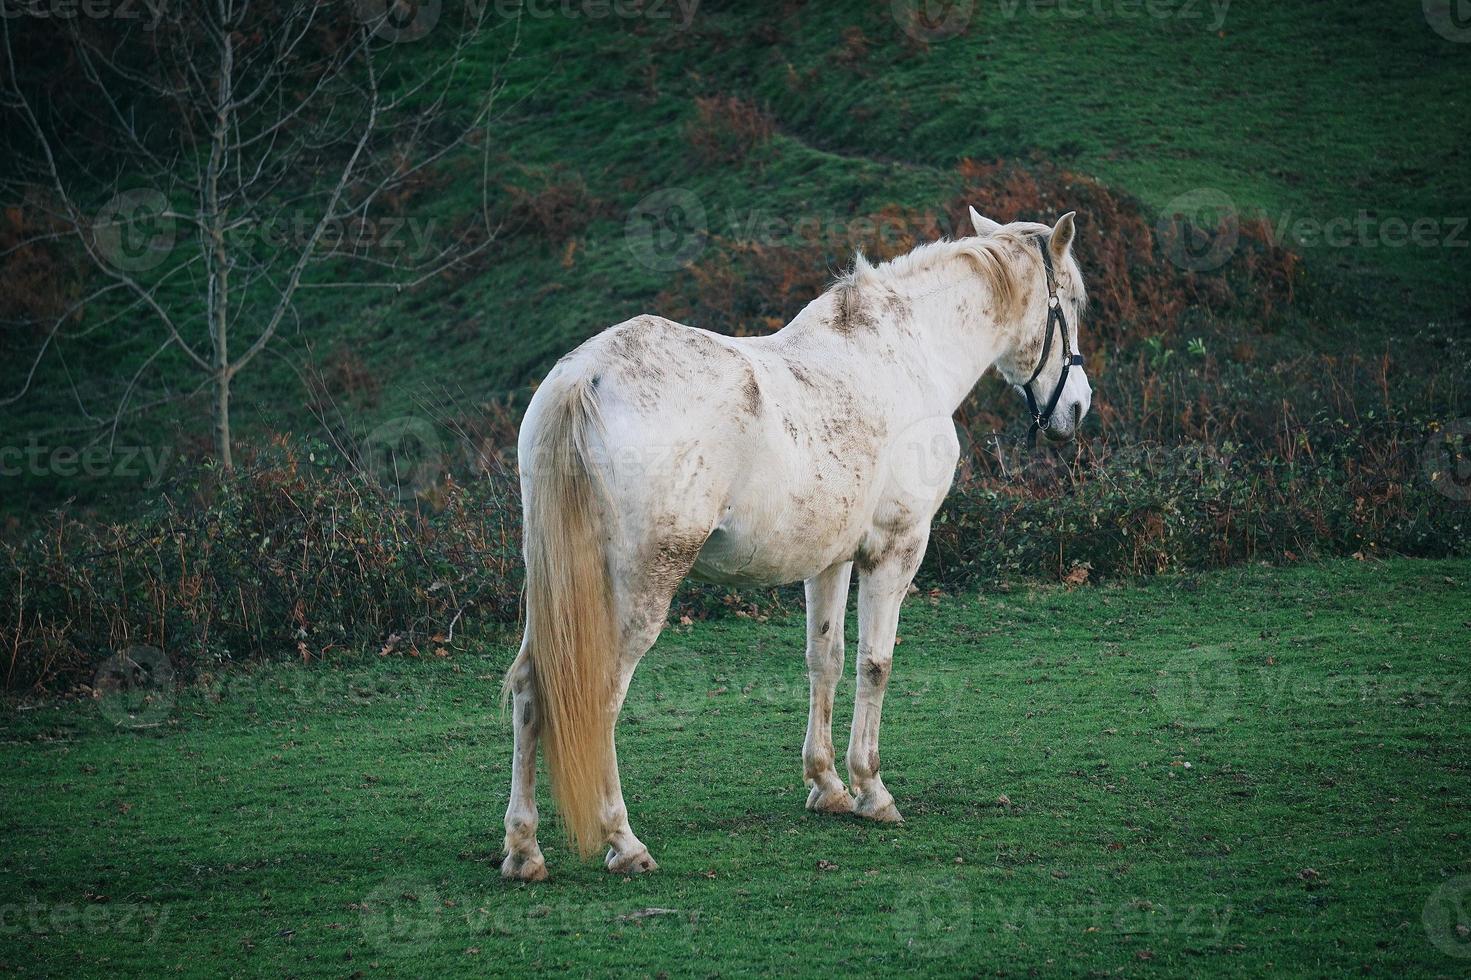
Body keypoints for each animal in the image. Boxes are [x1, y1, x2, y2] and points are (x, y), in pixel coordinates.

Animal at [500, 207, 1088, 876]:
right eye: (1073, 302)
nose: (1077, 408)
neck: (909, 355)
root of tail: (587, 376)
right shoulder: (897, 550)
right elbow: (874, 664)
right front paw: (872, 790)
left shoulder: (829, 561)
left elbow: (824, 659)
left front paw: (827, 785)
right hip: (636, 588)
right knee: (596, 698)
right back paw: (624, 842)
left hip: (552, 587)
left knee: (528, 687)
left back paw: (523, 848)